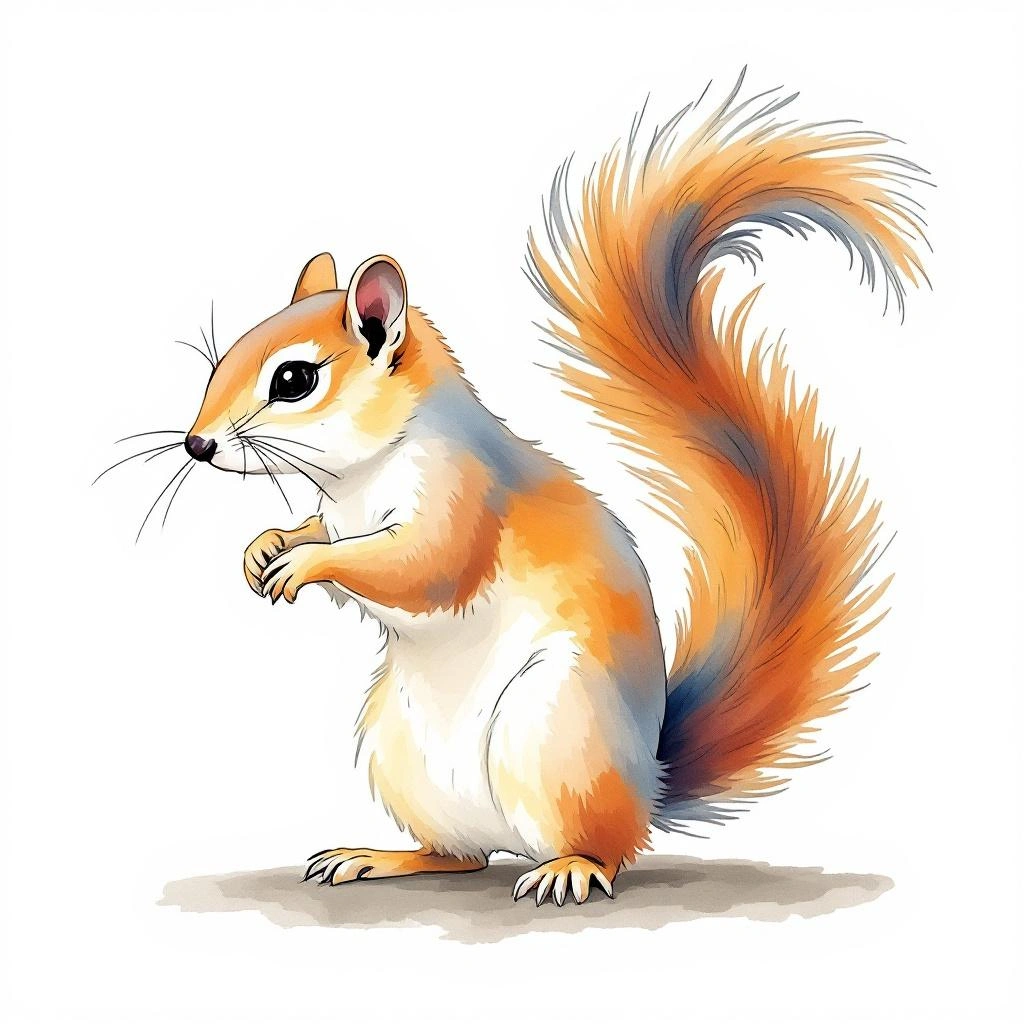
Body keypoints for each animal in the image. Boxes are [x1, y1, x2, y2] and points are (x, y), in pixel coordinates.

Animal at [178, 73, 927, 906]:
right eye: (226, 356)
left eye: (294, 379)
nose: (196, 444)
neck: (358, 477)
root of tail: (648, 782)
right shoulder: (336, 510)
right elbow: (318, 530)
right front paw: (265, 546)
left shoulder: (464, 494)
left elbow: (422, 564)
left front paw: (304, 565)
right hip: (400, 751)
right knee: (463, 855)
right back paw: (380, 856)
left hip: (553, 729)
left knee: (599, 845)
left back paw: (570, 868)